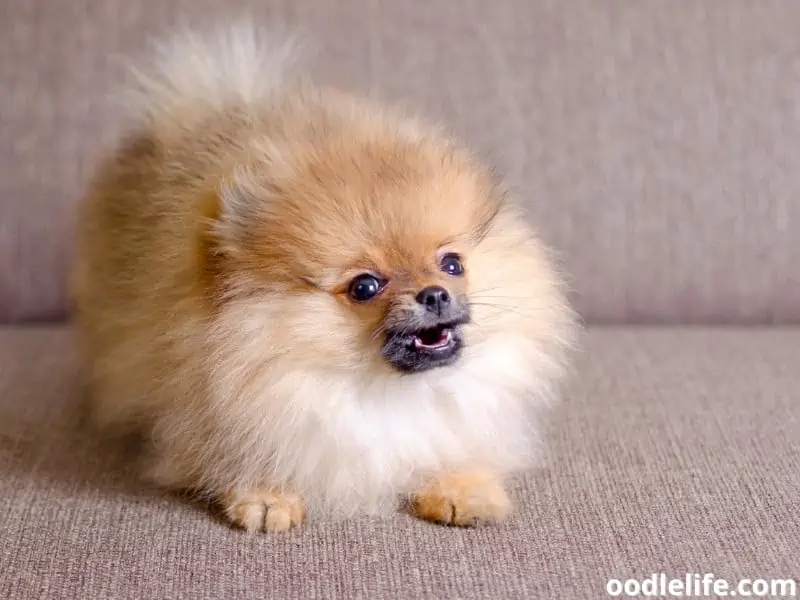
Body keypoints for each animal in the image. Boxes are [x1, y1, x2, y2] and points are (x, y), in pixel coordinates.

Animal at [72, 23, 576, 532]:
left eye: (452, 263)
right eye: (365, 287)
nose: (434, 294)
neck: (379, 393)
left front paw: (463, 485)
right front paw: (266, 495)